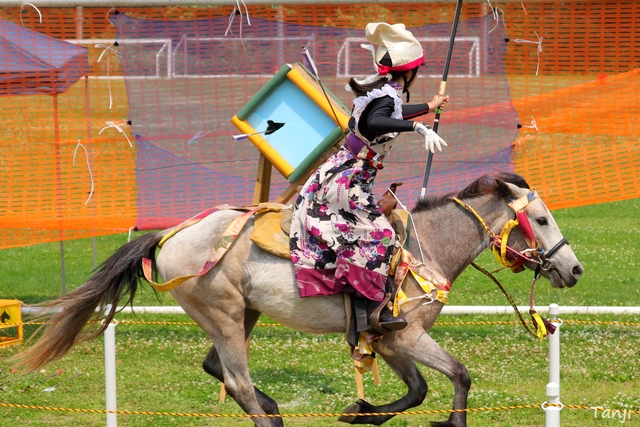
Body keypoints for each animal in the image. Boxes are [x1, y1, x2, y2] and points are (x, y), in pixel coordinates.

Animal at [17, 172, 583, 427]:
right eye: (543, 219)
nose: (575, 269)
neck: (426, 247)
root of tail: (171, 235)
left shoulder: (389, 339)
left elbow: (419, 389)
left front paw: (362, 411)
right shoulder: (410, 336)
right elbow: (459, 376)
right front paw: (450, 420)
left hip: (240, 315)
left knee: (217, 369)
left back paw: (273, 407)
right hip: (225, 315)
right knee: (238, 384)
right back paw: (268, 416)